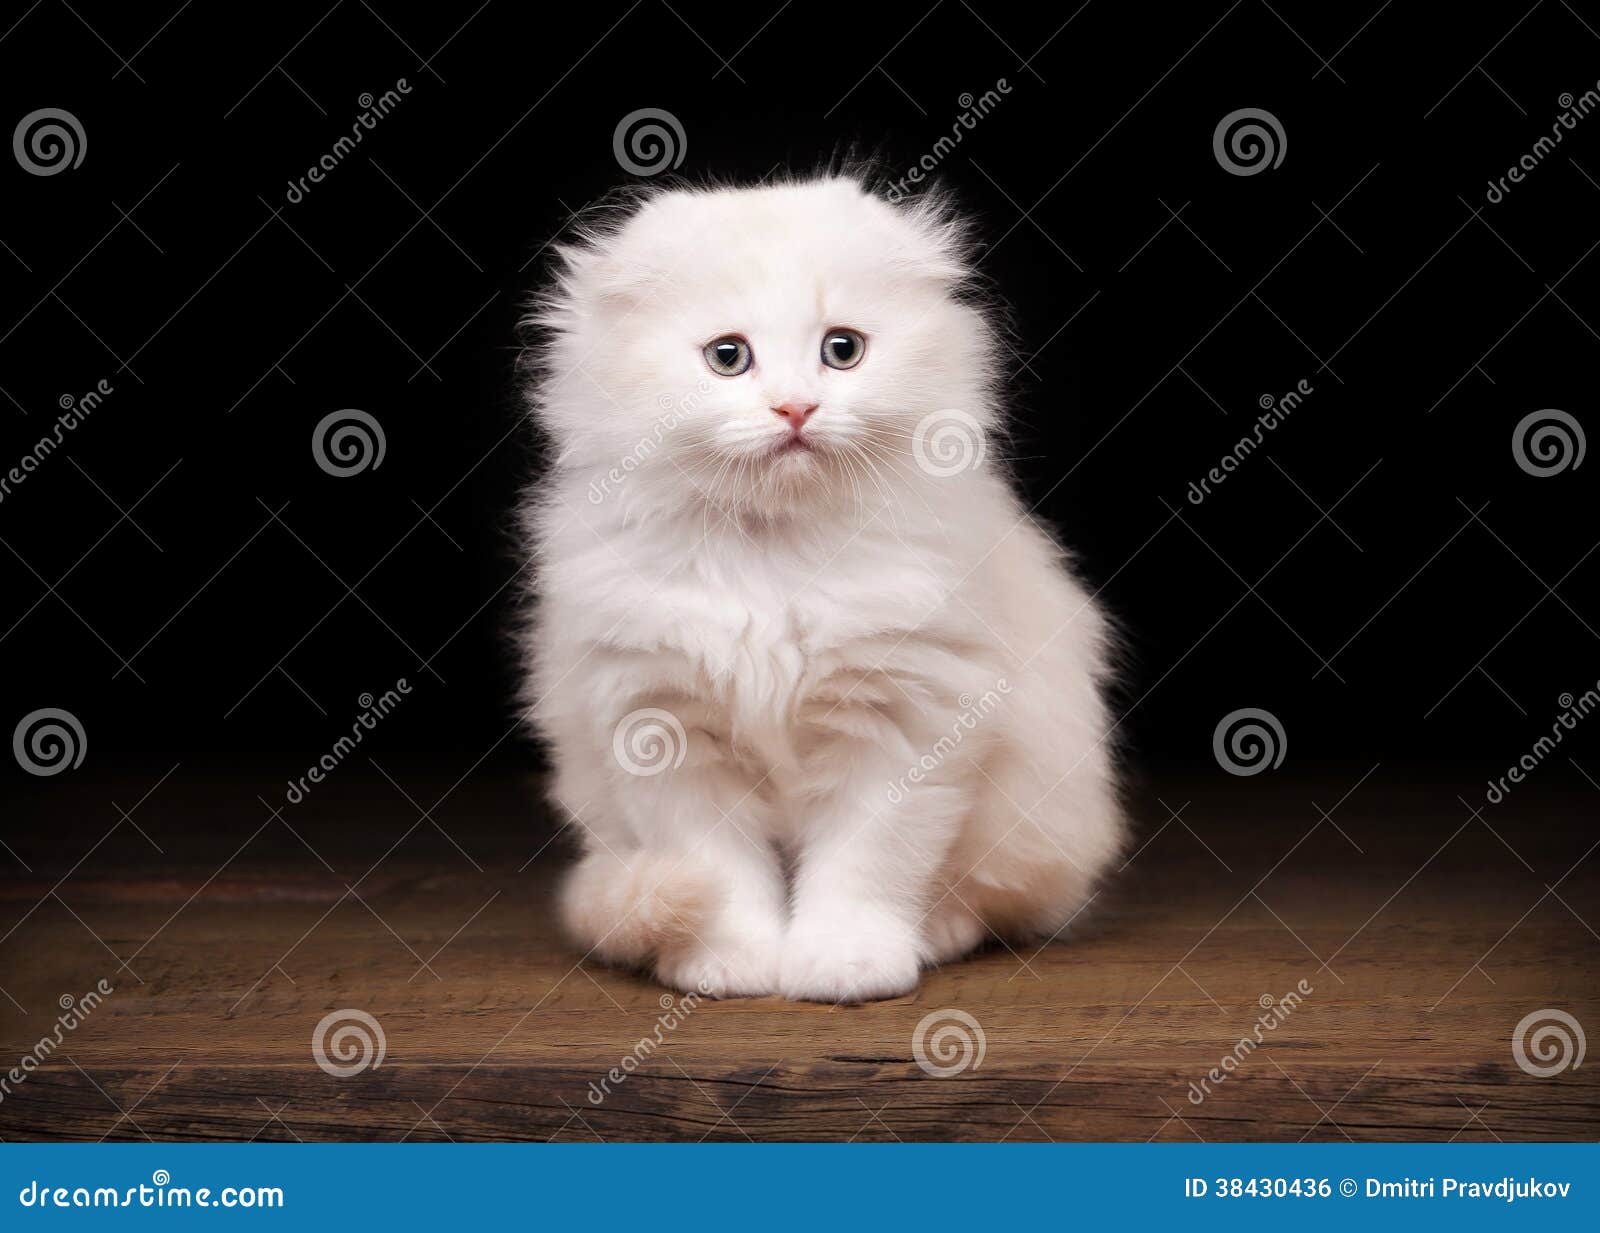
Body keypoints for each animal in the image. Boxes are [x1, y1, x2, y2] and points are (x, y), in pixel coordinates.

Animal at [524, 175, 1126, 1004]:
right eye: (728, 357)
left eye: (842, 350)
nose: (796, 407)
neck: (773, 552)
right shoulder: (659, 724)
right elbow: (719, 869)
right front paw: (728, 961)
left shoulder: (904, 717)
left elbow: (864, 867)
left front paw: (847, 963)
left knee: (988, 896)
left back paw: (938, 931)